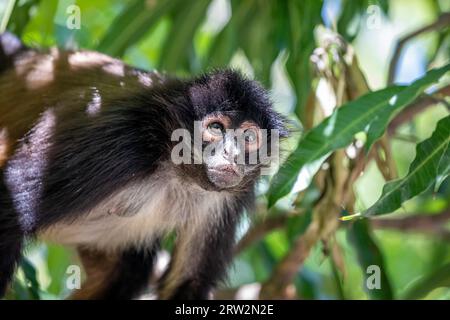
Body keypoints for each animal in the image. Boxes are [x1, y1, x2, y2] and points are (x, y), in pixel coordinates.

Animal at [0, 31, 288, 298]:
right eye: (216, 128)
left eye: (248, 137)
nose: (232, 153)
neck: (179, 175)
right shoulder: (127, 142)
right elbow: (10, 212)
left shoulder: (229, 196)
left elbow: (189, 281)